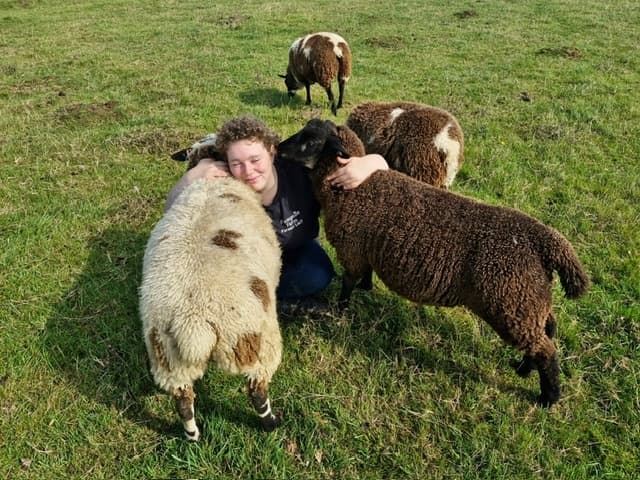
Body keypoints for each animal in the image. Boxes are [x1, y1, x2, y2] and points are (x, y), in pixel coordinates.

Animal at [139, 177, 283, 441]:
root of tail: (194, 322)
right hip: (254, 343)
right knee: (257, 392)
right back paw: (271, 423)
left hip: (169, 359)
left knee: (183, 402)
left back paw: (193, 436)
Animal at [277, 118, 590, 407]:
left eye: (311, 141)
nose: (279, 148)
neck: (356, 188)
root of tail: (546, 242)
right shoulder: (365, 250)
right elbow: (365, 274)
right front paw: (367, 289)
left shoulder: (352, 250)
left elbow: (348, 284)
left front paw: (342, 311)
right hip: (530, 299)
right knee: (547, 330)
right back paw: (524, 370)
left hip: (511, 302)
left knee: (545, 349)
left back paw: (548, 397)